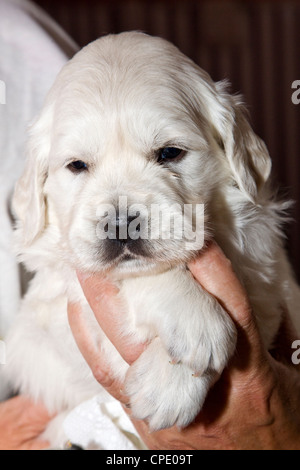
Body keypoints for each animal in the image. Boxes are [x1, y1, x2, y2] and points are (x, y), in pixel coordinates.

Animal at [2, 31, 300, 446]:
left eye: (170, 153)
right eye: (77, 165)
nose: (120, 224)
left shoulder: (264, 267)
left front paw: (167, 383)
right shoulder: (53, 297)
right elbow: (125, 274)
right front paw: (195, 327)